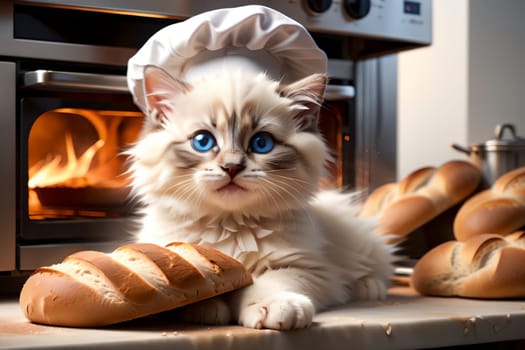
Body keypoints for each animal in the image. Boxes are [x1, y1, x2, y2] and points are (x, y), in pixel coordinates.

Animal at [127, 64, 396, 330]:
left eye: (261, 143)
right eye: (203, 141)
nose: (232, 167)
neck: (228, 224)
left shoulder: (307, 268)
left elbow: (269, 282)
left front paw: (275, 307)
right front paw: (206, 307)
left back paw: (368, 287)